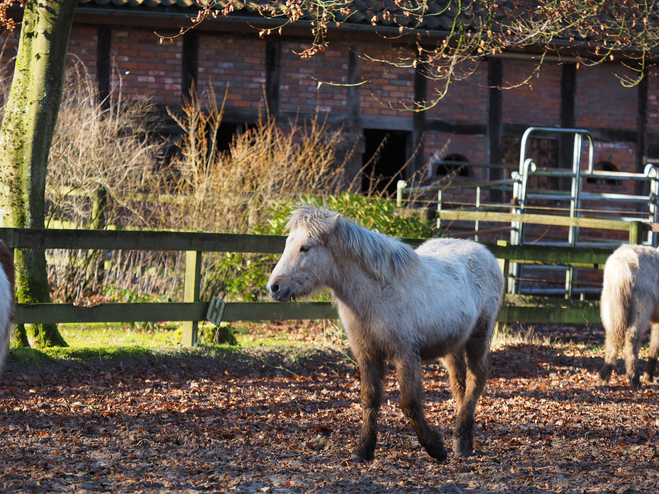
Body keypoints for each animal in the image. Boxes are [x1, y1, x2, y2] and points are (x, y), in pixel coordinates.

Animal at [266, 206, 502, 462]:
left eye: (305, 247)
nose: (274, 287)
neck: (378, 293)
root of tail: (485, 254)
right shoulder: (367, 355)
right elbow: (369, 399)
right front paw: (363, 450)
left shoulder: (406, 356)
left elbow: (409, 403)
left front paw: (435, 448)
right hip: (453, 347)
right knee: (460, 386)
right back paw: (464, 439)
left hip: (478, 338)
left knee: (476, 380)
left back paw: (461, 443)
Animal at [600, 243, 659, 390]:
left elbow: (654, 345)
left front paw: (649, 377)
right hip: (641, 311)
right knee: (632, 338)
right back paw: (634, 380)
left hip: (613, 311)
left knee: (613, 338)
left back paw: (603, 378)